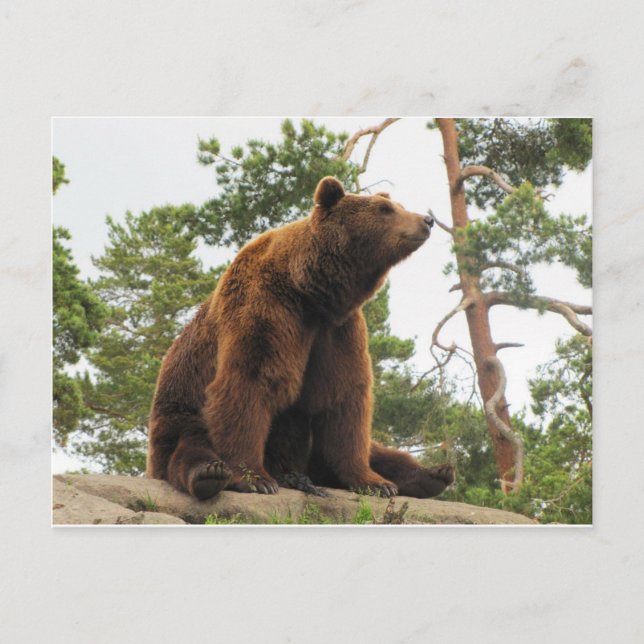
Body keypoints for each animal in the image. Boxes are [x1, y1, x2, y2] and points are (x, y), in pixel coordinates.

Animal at [146, 176, 455, 500]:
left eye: (398, 205)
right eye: (385, 209)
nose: (427, 220)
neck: (310, 293)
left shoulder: (338, 330)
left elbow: (345, 399)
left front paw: (375, 483)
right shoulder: (267, 312)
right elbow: (250, 382)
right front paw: (256, 478)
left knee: (375, 450)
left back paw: (433, 473)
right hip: (179, 413)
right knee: (188, 449)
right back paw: (210, 473)